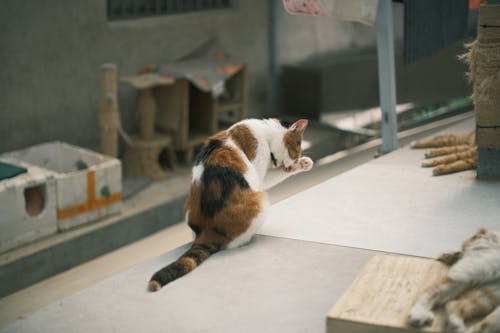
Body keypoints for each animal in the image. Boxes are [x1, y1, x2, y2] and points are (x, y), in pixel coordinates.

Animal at [148, 118, 312, 290]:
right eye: (295, 154)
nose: (292, 165)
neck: (265, 131)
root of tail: (206, 232)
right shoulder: (259, 168)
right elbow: (269, 177)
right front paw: (302, 164)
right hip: (260, 201)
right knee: (232, 243)